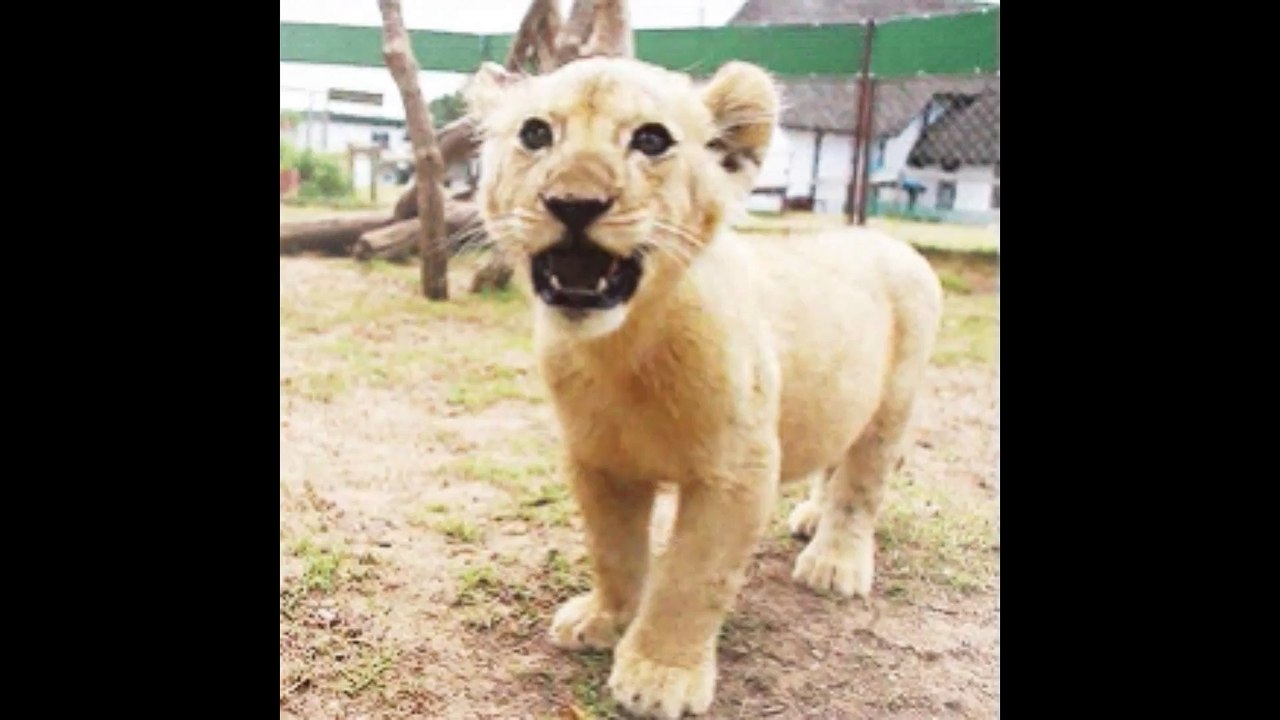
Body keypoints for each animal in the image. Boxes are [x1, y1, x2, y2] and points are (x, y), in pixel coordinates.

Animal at [465, 56, 943, 719]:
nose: (574, 202)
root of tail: (888, 239)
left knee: (862, 483)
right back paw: (810, 516)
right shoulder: (597, 460)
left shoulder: (737, 469)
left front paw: (658, 674)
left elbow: (693, 575)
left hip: (894, 401)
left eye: (650, 140)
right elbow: (613, 549)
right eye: (535, 133)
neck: (623, 349)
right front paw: (603, 620)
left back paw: (833, 561)